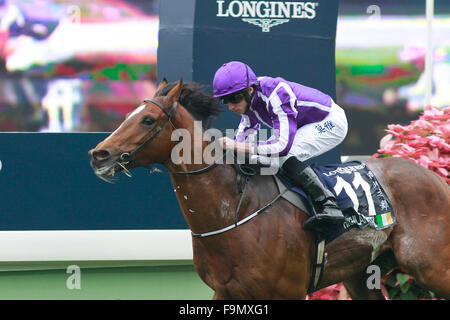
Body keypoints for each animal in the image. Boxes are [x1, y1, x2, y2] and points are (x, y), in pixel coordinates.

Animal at [89, 79, 450, 298]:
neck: (233, 213)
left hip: (432, 265)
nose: (98, 154)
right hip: (362, 272)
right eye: (129, 114)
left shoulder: (288, 292)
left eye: (148, 119)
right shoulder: (224, 291)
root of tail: (433, 177)